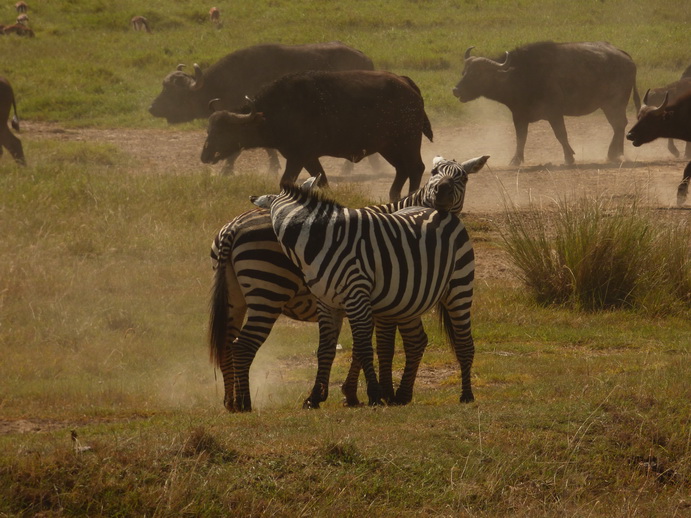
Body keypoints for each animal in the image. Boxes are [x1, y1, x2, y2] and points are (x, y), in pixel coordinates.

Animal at [200, 67, 432, 201]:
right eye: (209, 129)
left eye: (225, 131)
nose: (205, 155)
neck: (279, 109)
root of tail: (406, 84)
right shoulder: (310, 158)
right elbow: (323, 182)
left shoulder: (298, 157)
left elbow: (286, 182)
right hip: (388, 147)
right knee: (402, 169)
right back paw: (395, 198)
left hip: (408, 142)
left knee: (416, 168)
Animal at [208, 156, 490, 412]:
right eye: (433, 173)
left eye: (463, 178)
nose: (441, 194)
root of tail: (233, 226)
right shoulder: (378, 301)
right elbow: (378, 346)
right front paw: (374, 393)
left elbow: (359, 347)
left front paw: (352, 394)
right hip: (268, 291)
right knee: (243, 345)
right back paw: (243, 402)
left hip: (234, 299)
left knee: (226, 344)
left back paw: (230, 401)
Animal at [454, 41, 644, 167]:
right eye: (464, 72)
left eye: (478, 74)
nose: (456, 90)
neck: (521, 75)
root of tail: (625, 57)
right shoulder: (519, 115)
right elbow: (521, 138)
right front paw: (516, 160)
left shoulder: (554, 113)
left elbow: (561, 134)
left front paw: (569, 157)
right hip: (609, 105)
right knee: (619, 126)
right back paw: (616, 154)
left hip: (614, 103)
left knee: (619, 125)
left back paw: (614, 154)